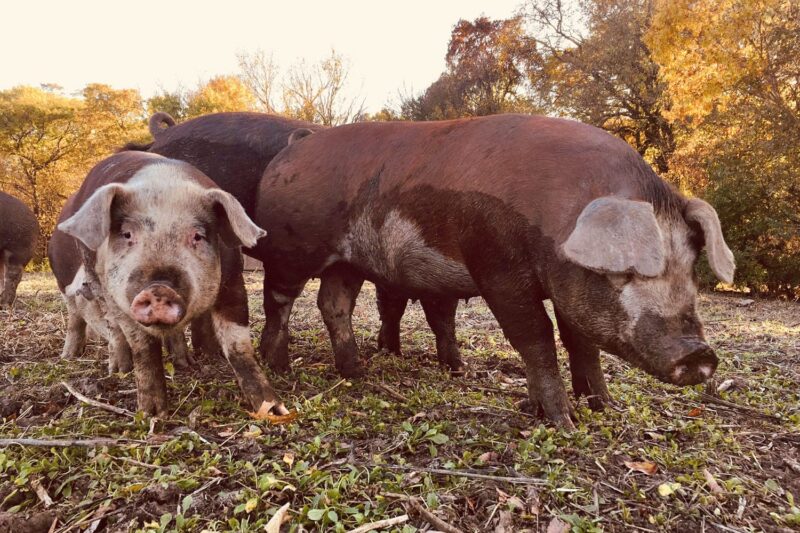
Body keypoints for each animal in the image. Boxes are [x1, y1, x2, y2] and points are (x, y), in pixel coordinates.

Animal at [50, 151, 286, 416]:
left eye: (197, 236)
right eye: (128, 234)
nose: (158, 288)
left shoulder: (233, 282)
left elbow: (238, 346)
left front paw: (274, 410)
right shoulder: (120, 301)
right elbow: (143, 348)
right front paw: (151, 414)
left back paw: (184, 364)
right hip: (96, 285)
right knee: (105, 326)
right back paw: (115, 369)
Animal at [252, 114, 735, 427]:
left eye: (690, 267)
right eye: (624, 272)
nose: (699, 354)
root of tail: (294, 146)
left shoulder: (565, 289)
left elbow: (580, 342)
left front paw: (603, 407)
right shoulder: (499, 271)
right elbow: (536, 337)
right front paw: (562, 422)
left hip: (348, 261)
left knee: (333, 304)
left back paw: (356, 373)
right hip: (289, 248)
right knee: (279, 300)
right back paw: (280, 368)